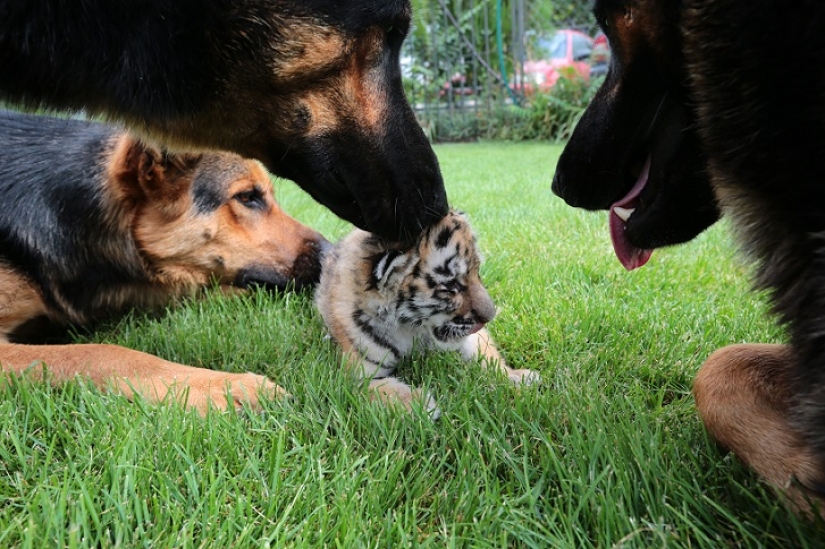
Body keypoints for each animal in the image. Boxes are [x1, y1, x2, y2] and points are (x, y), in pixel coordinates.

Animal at [315, 208, 539, 417]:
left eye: (478, 272)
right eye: (451, 286)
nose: (490, 317)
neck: (412, 327)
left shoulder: (472, 337)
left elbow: (489, 357)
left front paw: (516, 376)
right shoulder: (355, 379)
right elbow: (385, 390)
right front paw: (420, 404)